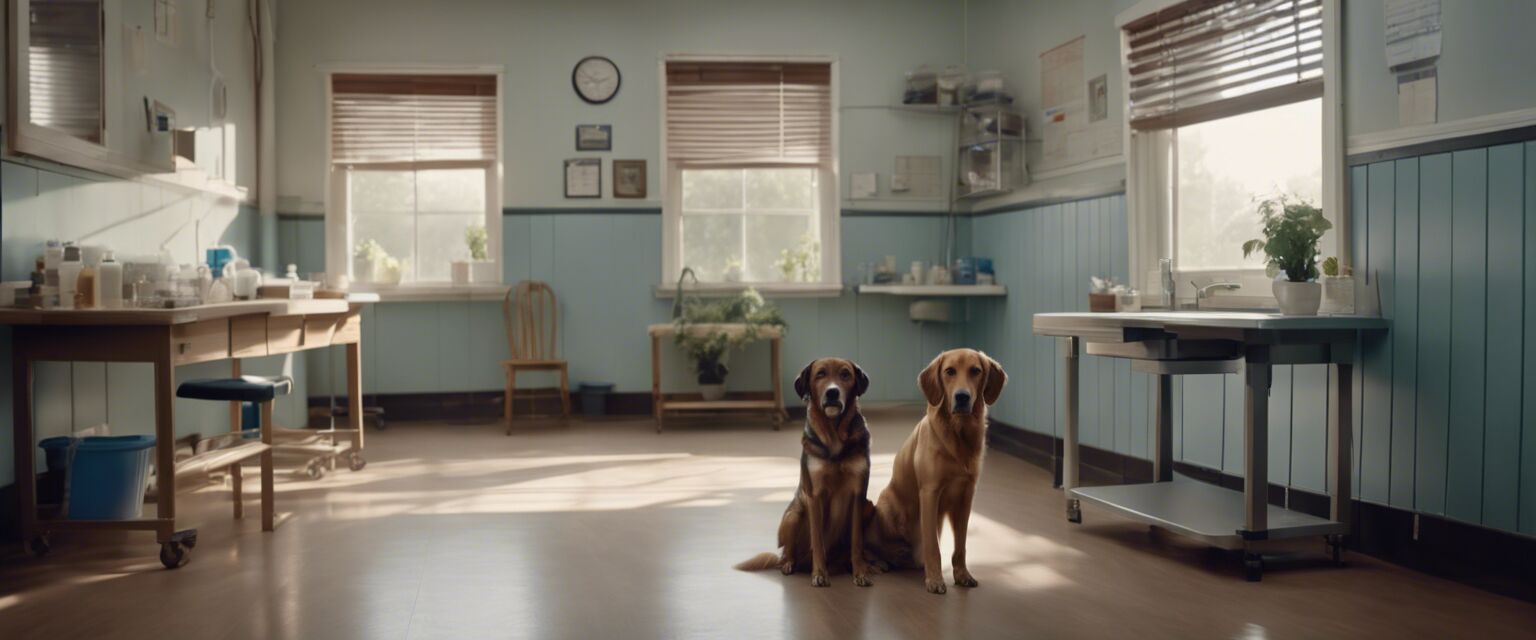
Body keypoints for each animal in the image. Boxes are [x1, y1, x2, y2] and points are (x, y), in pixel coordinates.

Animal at [740, 356, 878, 586]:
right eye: (820, 374)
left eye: (845, 374)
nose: (832, 393)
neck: (834, 437)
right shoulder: (815, 496)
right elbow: (818, 540)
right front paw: (820, 574)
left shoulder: (859, 495)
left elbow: (857, 541)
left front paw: (860, 572)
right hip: (794, 515)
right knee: (788, 552)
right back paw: (789, 564)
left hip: (869, 507)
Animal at [878, 349, 1007, 592]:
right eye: (949, 371)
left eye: (975, 371)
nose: (962, 397)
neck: (959, 435)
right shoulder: (930, 493)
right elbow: (933, 547)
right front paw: (935, 579)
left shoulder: (966, 497)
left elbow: (961, 546)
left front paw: (962, 574)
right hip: (888, 511)